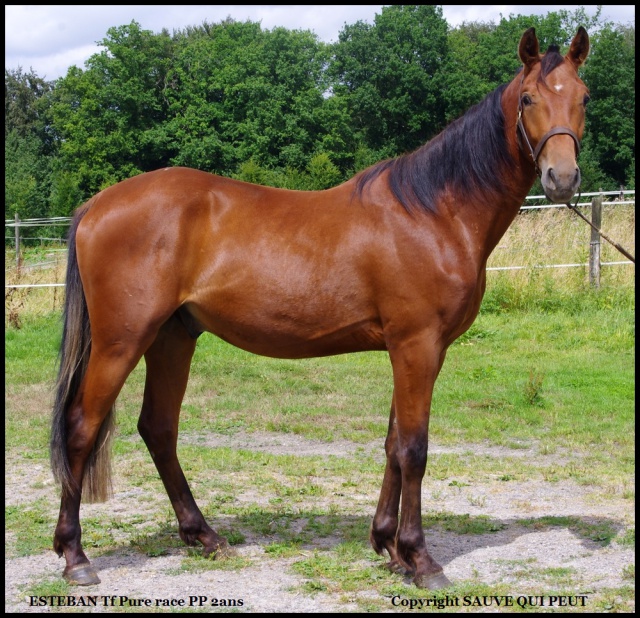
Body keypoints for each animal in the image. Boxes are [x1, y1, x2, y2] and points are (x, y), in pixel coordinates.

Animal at [48, 27, 592, 588]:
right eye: (528, 98)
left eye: (584, 97)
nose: (562, 178)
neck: (434, 212)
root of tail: (96, 204)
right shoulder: (418, 346)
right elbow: (414, 450)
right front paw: (421, 559)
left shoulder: (411, 349)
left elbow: (394, 445)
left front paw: (388, 546)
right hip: (121, 341)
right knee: (81, 429)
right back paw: (76, 556)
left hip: (172, 337)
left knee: (158, 429)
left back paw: (204, 536)